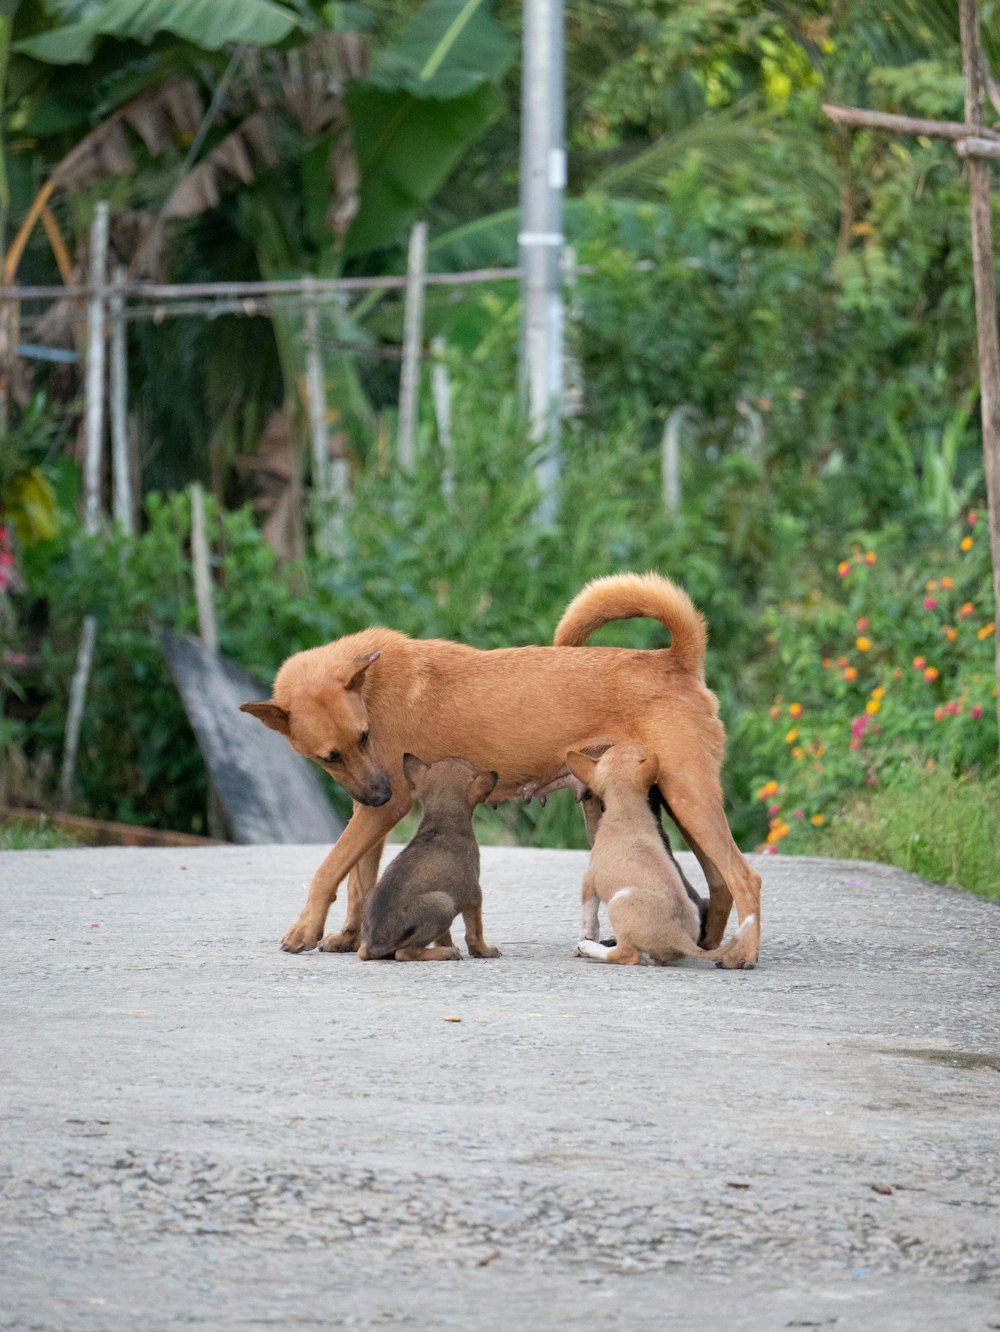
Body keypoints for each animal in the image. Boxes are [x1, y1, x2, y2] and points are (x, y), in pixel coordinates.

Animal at [356, 756, 500, 964]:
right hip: (444, 904)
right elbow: (475, 932)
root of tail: (376, 944)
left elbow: (444, 936)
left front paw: (450, 945)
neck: (442, 823)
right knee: (405, 953)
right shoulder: (474, 895)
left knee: (366, 951)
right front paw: (484, 951)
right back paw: (447, 954)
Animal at [567, 740, 756, 969]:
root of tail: (680, 938)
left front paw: (585, 940)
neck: (627, 813)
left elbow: (589, 916)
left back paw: (590, 948)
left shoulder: (589, 881)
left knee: (627, 954)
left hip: (618, 903)